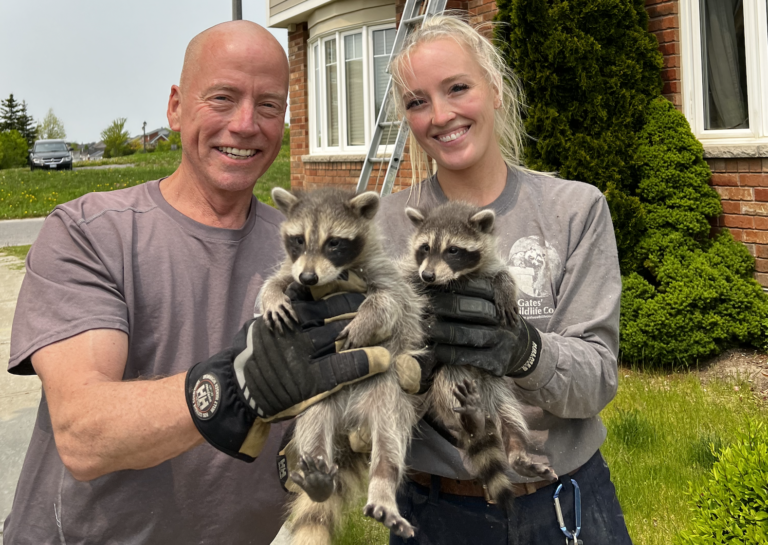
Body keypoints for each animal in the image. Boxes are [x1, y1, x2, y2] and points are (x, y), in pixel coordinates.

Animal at [260, 188, 424, 544]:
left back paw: (383, 485)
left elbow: (388, 302)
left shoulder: (385, 274)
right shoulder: (292, 268)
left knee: (389, 440)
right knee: (313, 427)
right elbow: (275, 280)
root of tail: (350, 422)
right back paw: (319, 478)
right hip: (321, 397)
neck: (335, 277)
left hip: (386, 394)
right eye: (298, 240)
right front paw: (272, 296)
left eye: (333, 242)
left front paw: (365, 319)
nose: (308, 277)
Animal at [404, 201, 556, 510]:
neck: (455, 280)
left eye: (453, 250)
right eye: (425, 247)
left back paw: (514, 447)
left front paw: (505, 287)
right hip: (449, 378)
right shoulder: (411, 269)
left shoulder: (490, 262)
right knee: (452, 390)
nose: (428, 276)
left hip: (496, 390)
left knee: (510, 418)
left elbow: (503, 274)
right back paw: (470, 422)